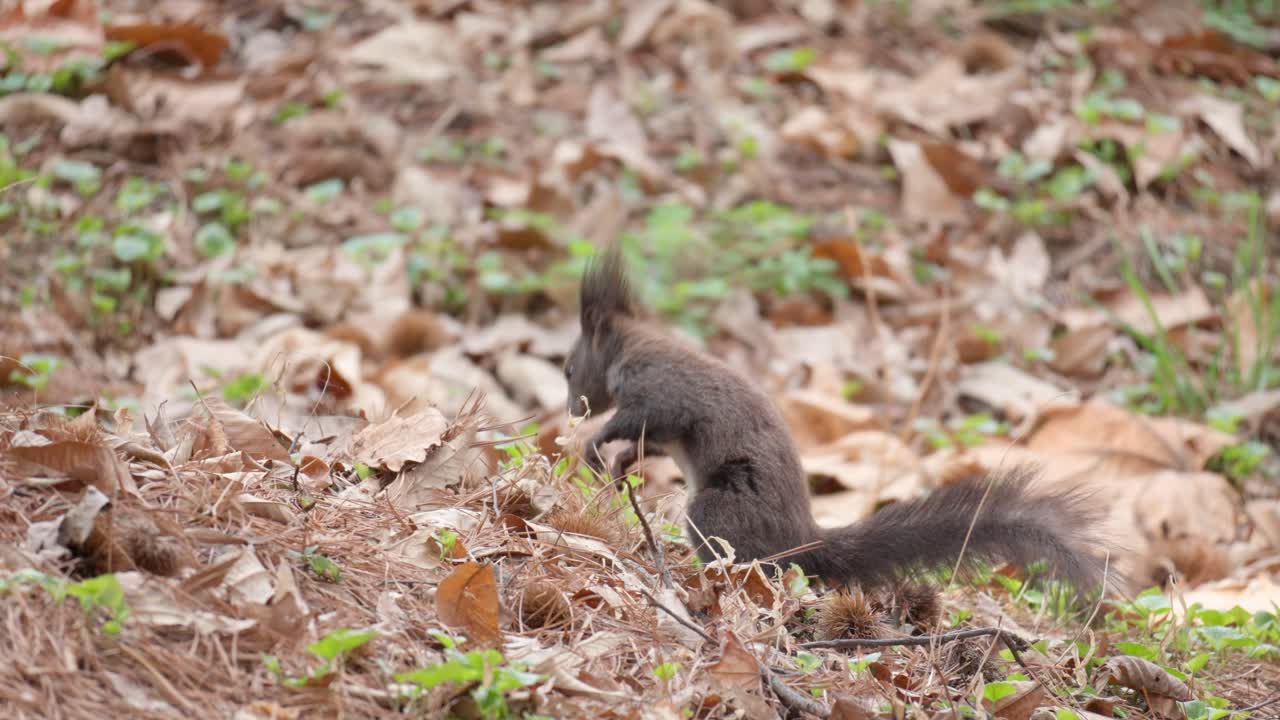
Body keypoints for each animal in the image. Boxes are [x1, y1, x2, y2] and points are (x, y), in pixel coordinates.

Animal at [564, 248, 1110, 593]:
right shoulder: (660, 427)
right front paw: (619, 467)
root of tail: (801, 539)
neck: (630, 348)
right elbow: (646, 442)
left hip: (718, 511)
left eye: (569, 369)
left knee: (751, 562)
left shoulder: (659, 392)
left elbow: (638, 420)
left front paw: (594, 446)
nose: (571, 408)